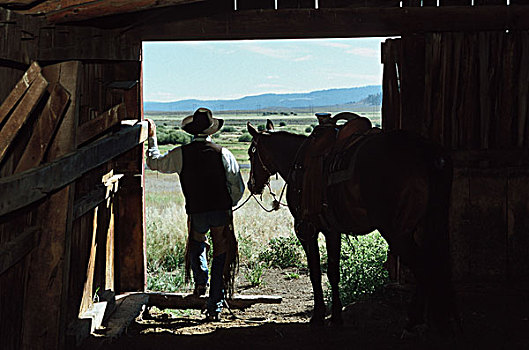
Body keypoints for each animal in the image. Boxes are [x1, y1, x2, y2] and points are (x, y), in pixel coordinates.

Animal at [246, 119, 454, 332]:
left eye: (250, 153)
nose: (251, 185)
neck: (298, 164)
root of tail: (425, 151)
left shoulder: (306, 230)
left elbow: (315, 272)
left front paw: (318, 315)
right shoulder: (332, 231)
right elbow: (333, 272)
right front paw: (337, 316)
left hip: (398, 233)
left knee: (424, 266)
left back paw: (415, 319)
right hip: (426, 228)